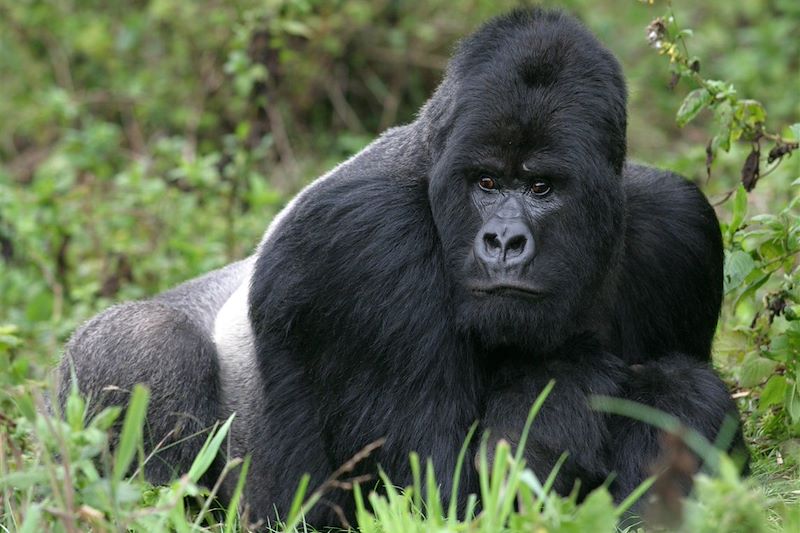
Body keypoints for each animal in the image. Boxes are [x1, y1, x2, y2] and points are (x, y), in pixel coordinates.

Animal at [59, 8, 748, 528]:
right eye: (486, 182)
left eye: (542, 187)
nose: (503, 241)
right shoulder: (365, 244)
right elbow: (435, 492)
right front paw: (565, 385)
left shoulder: (678, 228)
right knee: (149, 345)